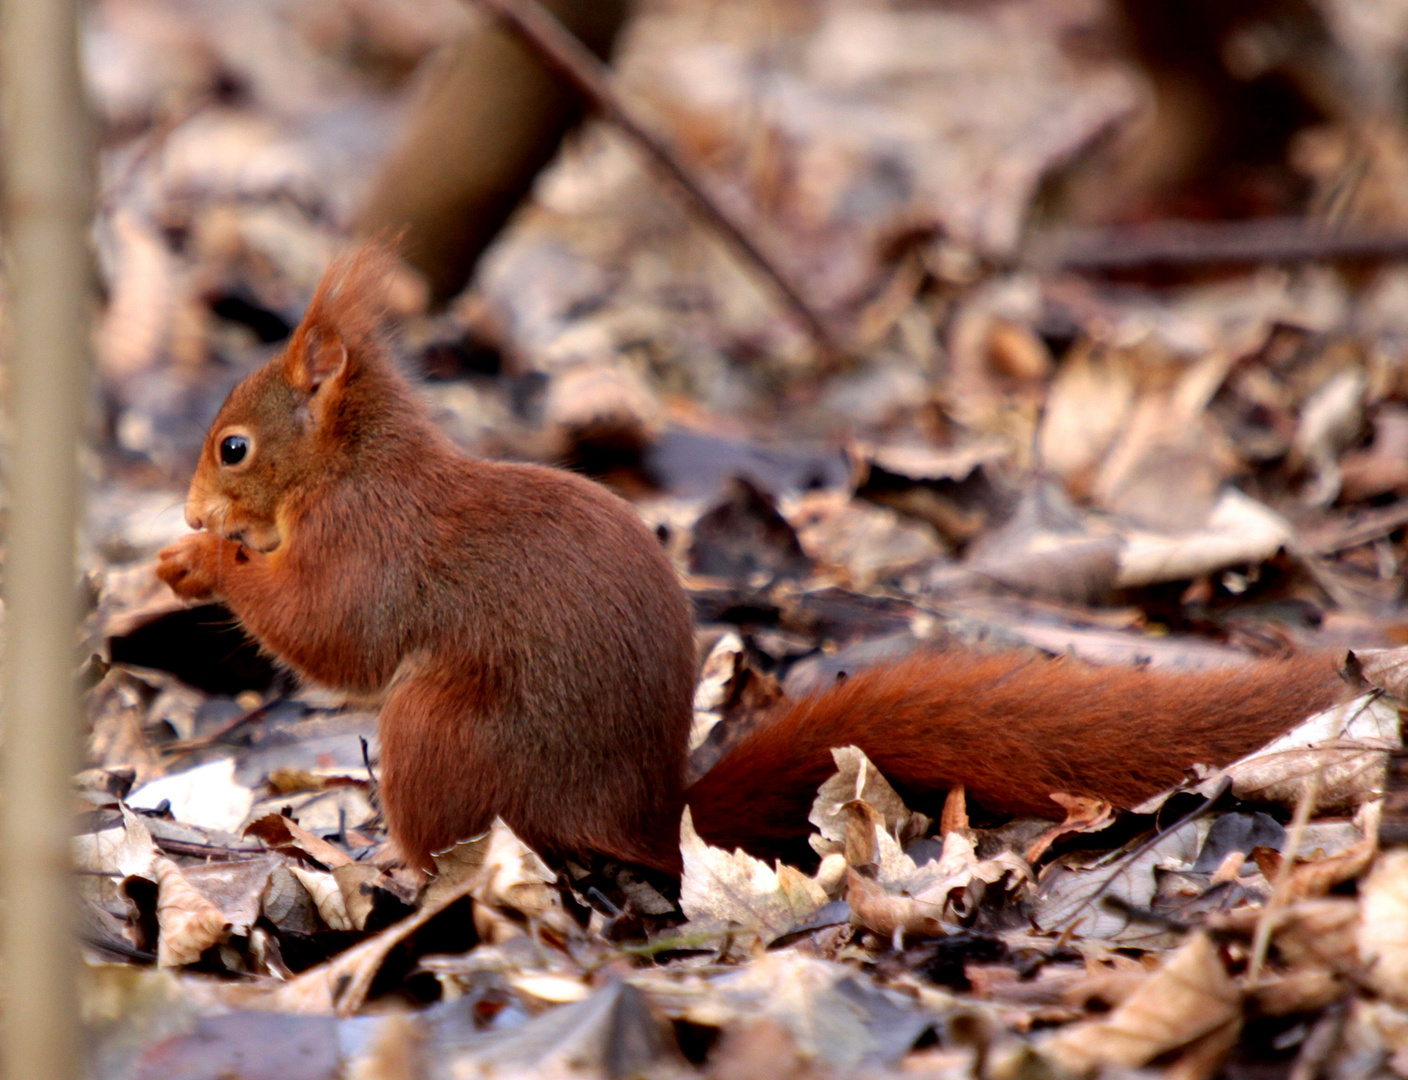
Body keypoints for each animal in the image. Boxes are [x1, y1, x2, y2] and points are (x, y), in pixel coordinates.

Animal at [154, 247, 1340, 878]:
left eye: (233, 446)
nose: (193, 503)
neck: (350, 468)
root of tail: (641, 824)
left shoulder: (375, 545)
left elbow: (333, 635)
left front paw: (205, 561)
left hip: (438, 732)